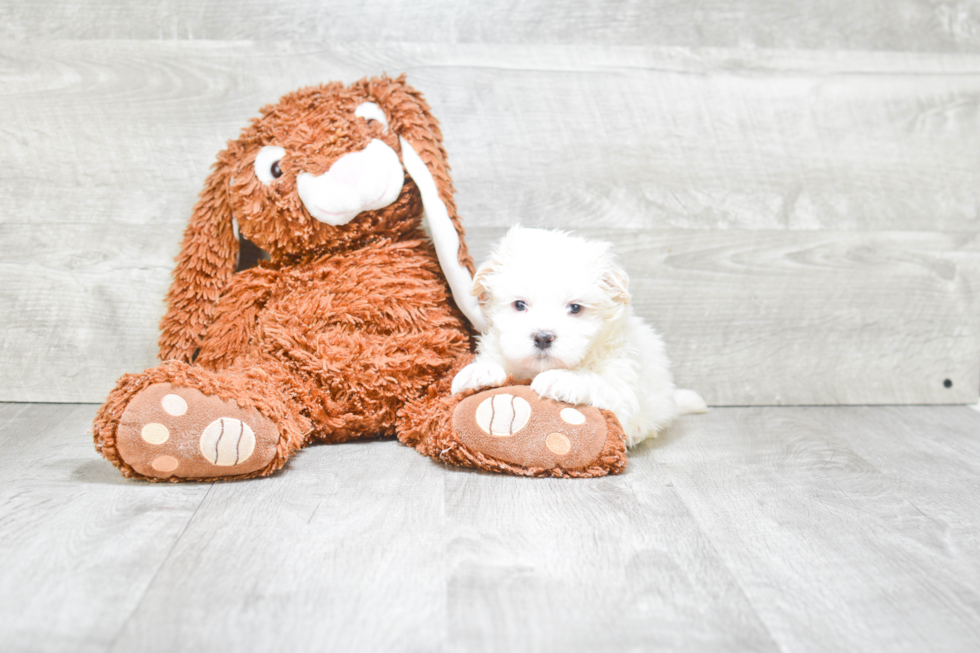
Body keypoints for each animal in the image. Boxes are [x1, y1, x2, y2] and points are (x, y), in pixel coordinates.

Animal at [452, 224, 704, 444]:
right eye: (520, 305)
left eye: (575, 308)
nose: (543, 337)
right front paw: (479, 373)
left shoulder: (621, 383)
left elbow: (597, 382)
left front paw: (561, 378)